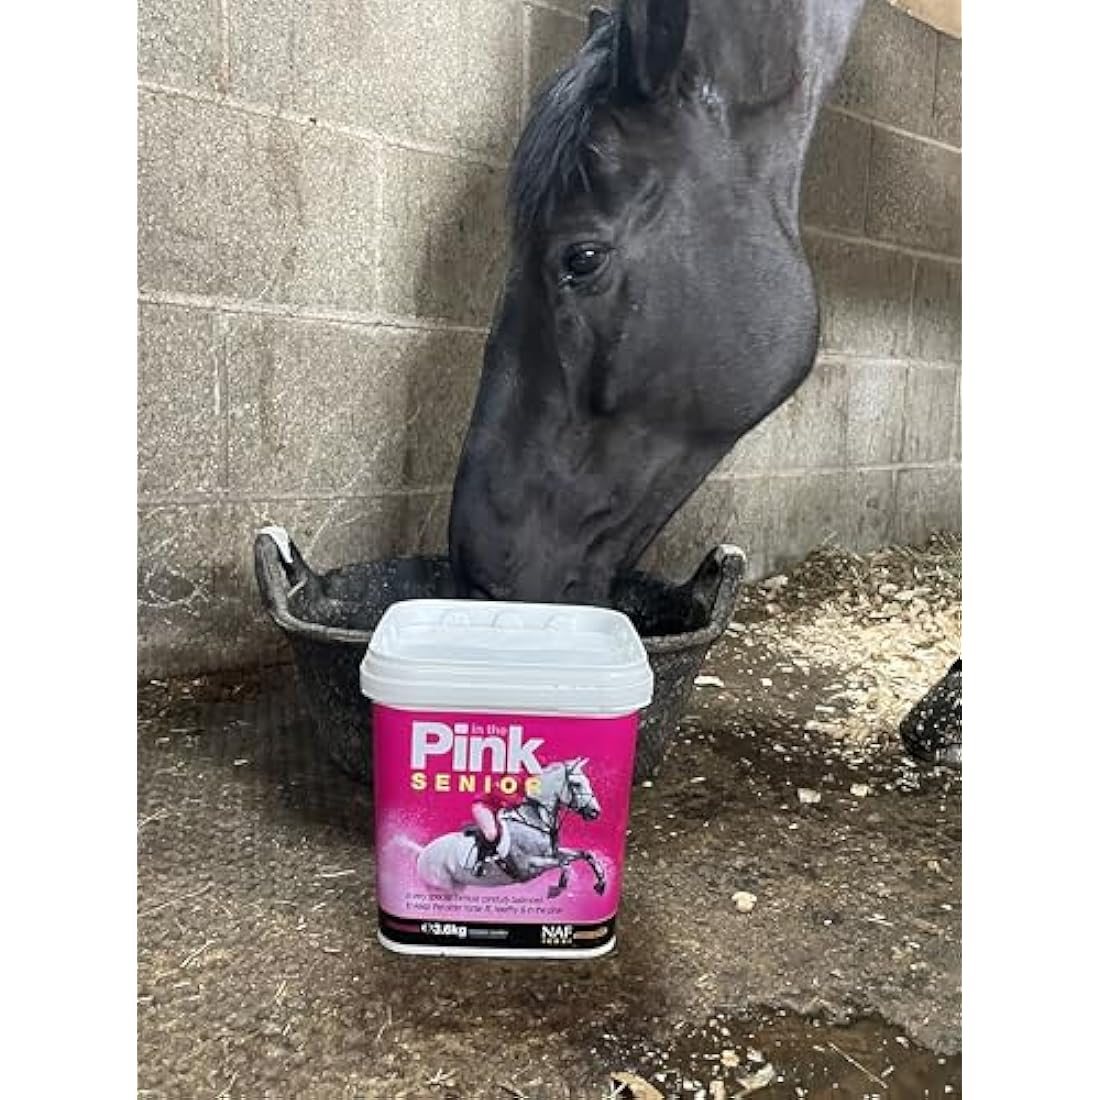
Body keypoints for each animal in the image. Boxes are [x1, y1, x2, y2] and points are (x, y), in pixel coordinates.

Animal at [411, 759, 609, 896]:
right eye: (576, 784)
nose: (595, 812)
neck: (535, 819)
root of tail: (423, 852)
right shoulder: (527, 866)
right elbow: (565, 865)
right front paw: (557, 888)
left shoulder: (552, 853)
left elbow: (586, 854)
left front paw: (600, 884)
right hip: (441, 888)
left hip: (456, 887)